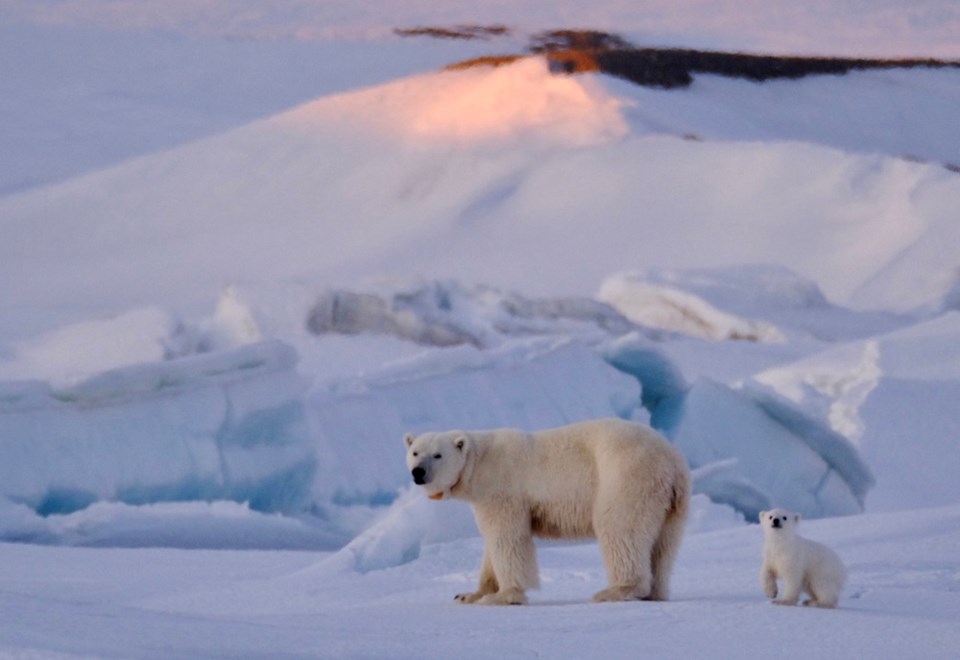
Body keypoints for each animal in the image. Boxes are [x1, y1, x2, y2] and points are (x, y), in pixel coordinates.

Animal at [404, 420, 688, 604]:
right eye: (415, 452)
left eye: (438, 455)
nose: (418, 472)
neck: (478, 461)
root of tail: (672, 459)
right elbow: (492, 545)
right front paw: (468, 595)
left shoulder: (502, 489)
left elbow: (507, 538)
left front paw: (504, 596)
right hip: (670, 503)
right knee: (663, 545)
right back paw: (656, 592)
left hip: (626, 476)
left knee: (619, 528)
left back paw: (615, 591)